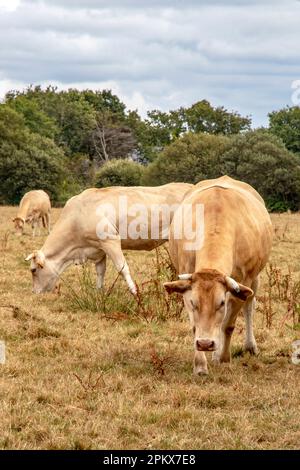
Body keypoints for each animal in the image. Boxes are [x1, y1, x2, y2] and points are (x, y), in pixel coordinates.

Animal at [24, 183, 191, 294]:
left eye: (33, 270)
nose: (34, 292)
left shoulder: (111, 240)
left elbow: (122, 268)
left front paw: (134, 292)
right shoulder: (98, 249)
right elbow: (100, 271)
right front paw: (99, 292)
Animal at [163, 175, 274, 374]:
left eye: (220, 303)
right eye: (194, 302)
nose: (205, 344)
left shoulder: (241, 284)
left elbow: (228, 324)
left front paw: (224, 358)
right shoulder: (187, 290)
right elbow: (196, 327)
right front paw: (200, 365)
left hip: (255, 280)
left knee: (248, 307)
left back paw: (249, 346)